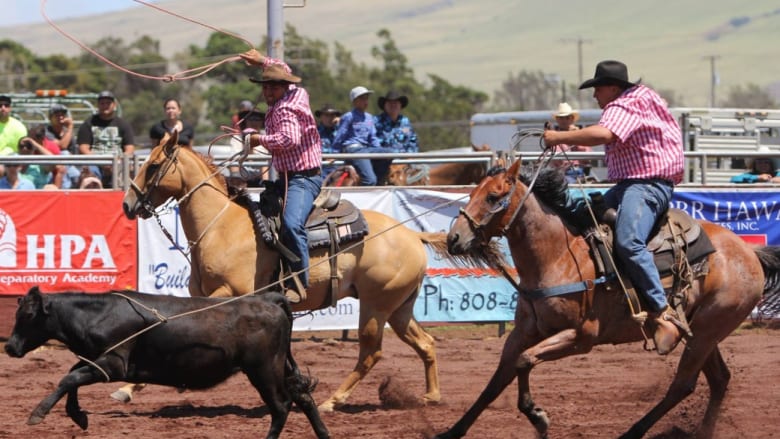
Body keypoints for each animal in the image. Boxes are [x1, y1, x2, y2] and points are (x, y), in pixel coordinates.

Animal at [120, 132, 482, 414]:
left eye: (153, 165)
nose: (127, 204)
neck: (221, 227)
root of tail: (412, 235)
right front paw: (133, 387)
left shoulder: (232, 294)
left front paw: (128, 387)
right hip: (399, 308)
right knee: (426, 343)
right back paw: (431, 396)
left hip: (376, 306)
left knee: (371, 353)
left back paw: (334, 400)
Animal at [438, 162, 780, 439]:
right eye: (471, 193)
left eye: (493, 197)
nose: (454, 239)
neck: (558, 255)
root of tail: (750, 252)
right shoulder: (525, 332)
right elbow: (497, 380)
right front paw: (452, 432)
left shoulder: (582, 337)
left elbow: (524, 361)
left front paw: (538, 417)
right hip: (702, 331)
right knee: (719, 379)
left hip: (708, 330)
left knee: (683, 384)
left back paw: (633, 432)